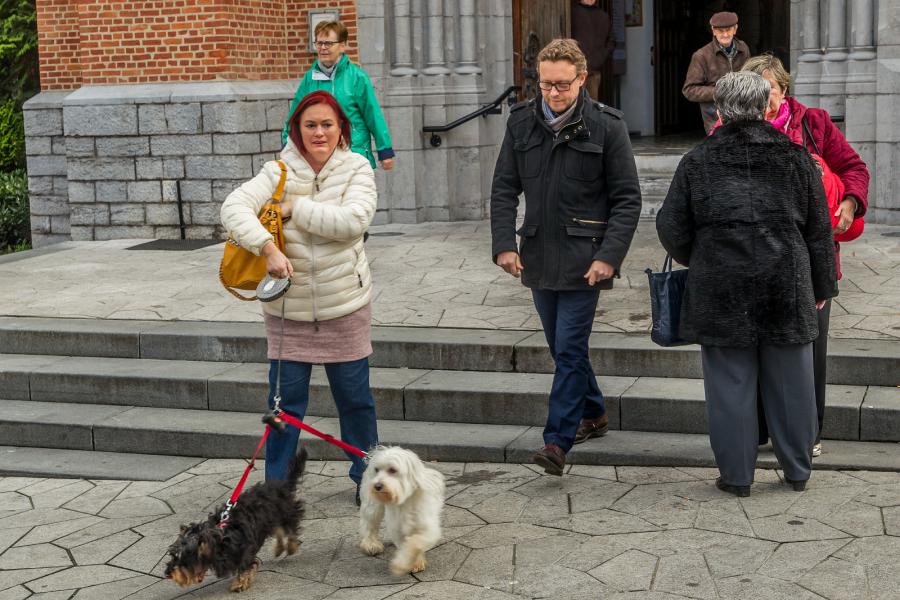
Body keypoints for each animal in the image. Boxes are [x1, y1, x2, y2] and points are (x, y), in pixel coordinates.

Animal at [166, 448, 310, 592]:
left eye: (183, 558)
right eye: (173, 556)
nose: (167, 573)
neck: (220, 538)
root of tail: (282, 486)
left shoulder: (245, 550)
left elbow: (244, 566)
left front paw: (239, 584)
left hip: (286, 512)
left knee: (291, 528)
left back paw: (291, 547)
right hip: (272, 519)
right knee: (279, 530)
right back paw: (279, 548)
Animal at [356, 446, 444, 576]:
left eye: (392, 470)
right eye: (377, 470)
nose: (377, 486)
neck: (406, 501)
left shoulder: (427, 527)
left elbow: (415, 542)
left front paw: (413, 562)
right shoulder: (397, 528)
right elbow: (406, 545)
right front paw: (405, 564)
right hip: (372, 506)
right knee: (369, 524)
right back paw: (371, 544)